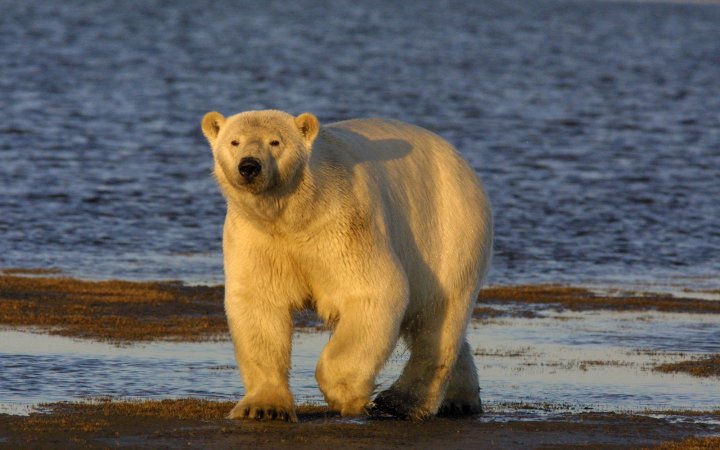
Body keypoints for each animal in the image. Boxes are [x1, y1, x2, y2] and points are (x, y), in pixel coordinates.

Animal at [202, 110, 496, 422]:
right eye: (235, 141)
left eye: (275, 142)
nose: (249, 166)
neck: (296, 214)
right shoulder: (258, 238)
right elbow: (259, 304)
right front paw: (263, 407)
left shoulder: (342, 224)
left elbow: (373, 291)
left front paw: (346, 394)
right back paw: (460, 399)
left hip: (449, 232)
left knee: (439, 315)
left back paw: (401, 402)